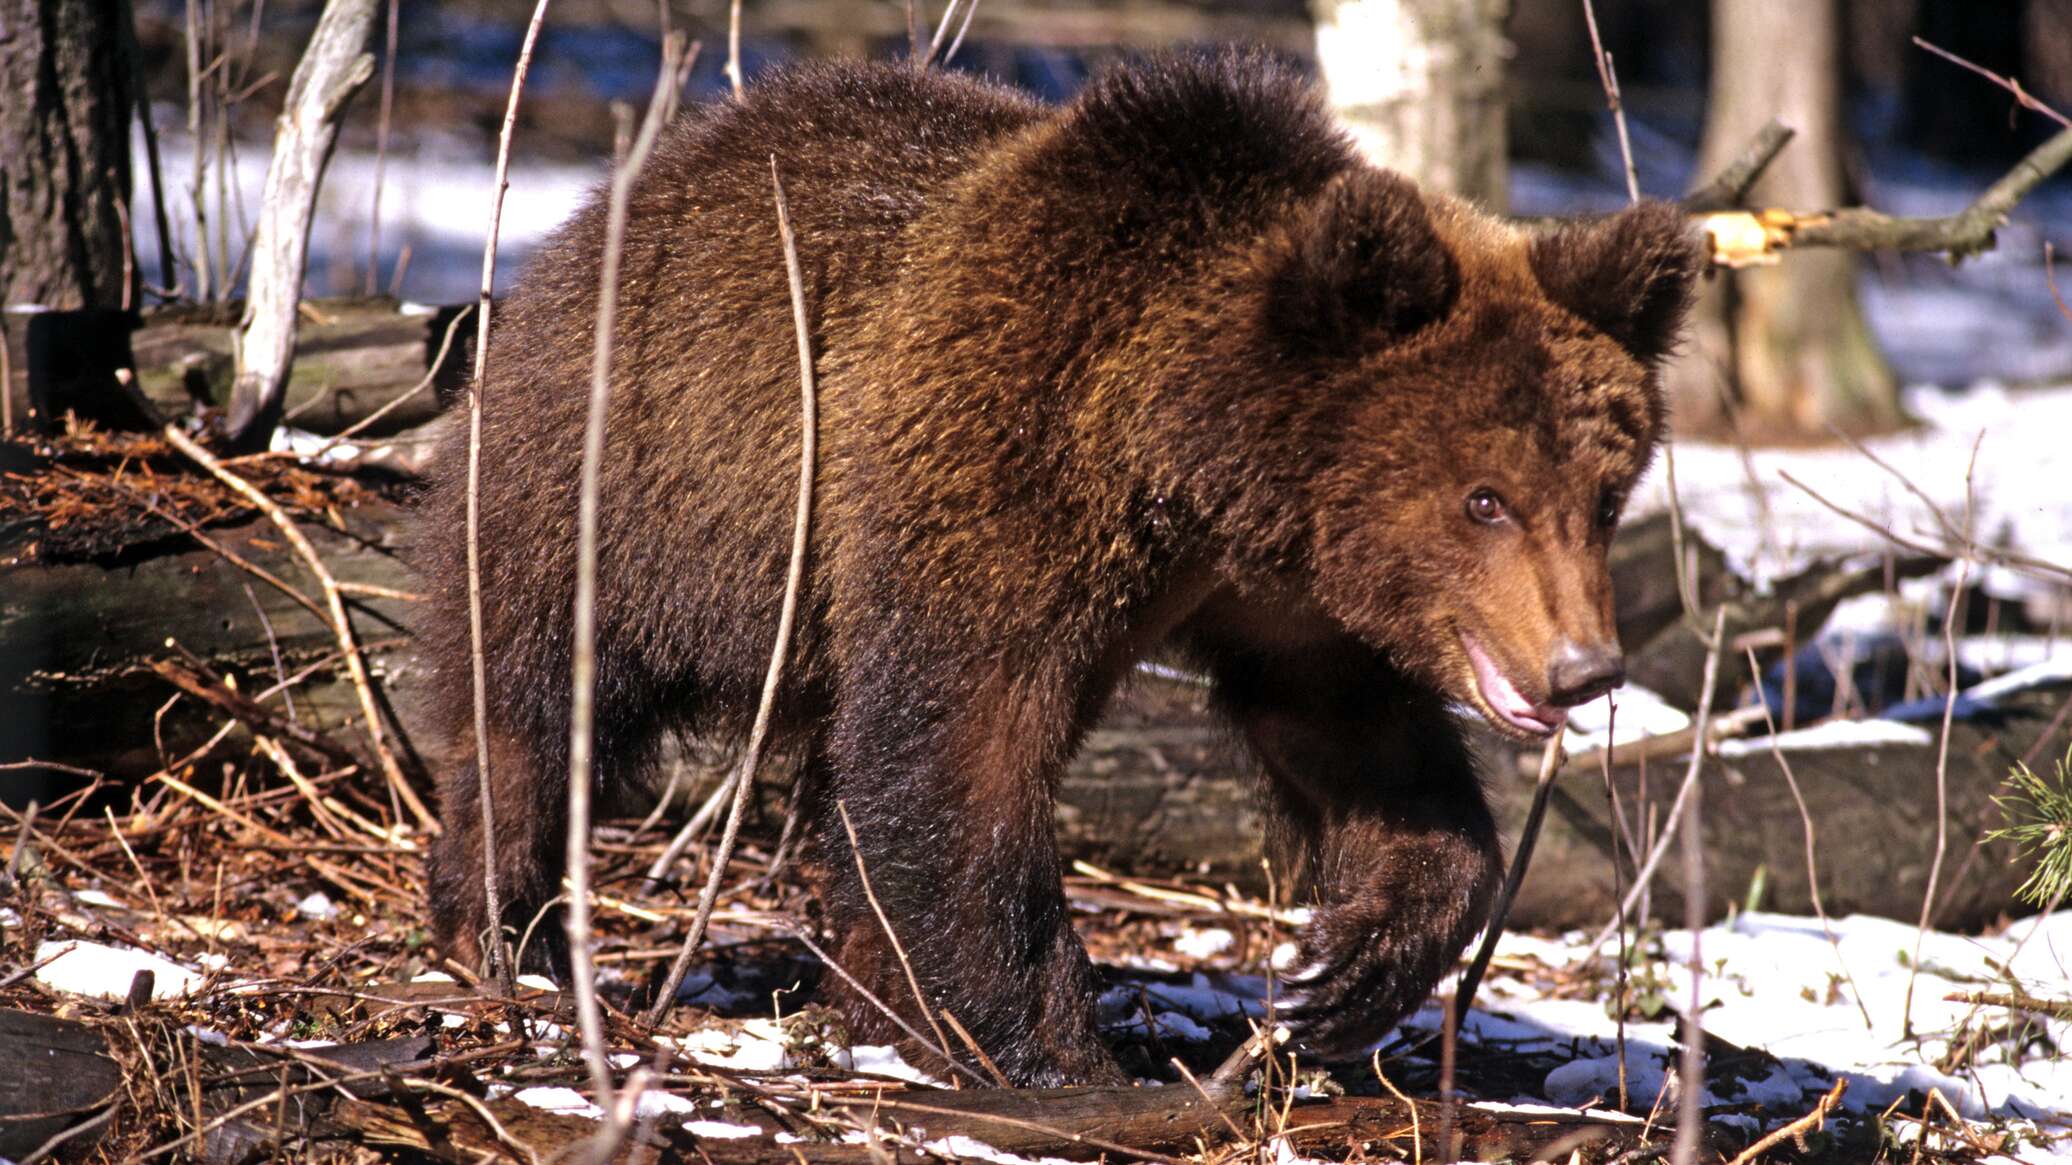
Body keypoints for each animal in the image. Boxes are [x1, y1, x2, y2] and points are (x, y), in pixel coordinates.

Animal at [416, 45, 1699, 1077]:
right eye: (1484, 499)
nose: (1582, 664)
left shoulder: (1281, 589)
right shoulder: (992, 482)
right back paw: (505, 929)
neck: (1181, 464)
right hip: (620, 490)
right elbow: (961, 752)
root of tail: (608, 205)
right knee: (533, 702)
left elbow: (1356, 735)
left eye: (1602, 492)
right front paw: (1053, 1048)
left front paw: (1344, 970)